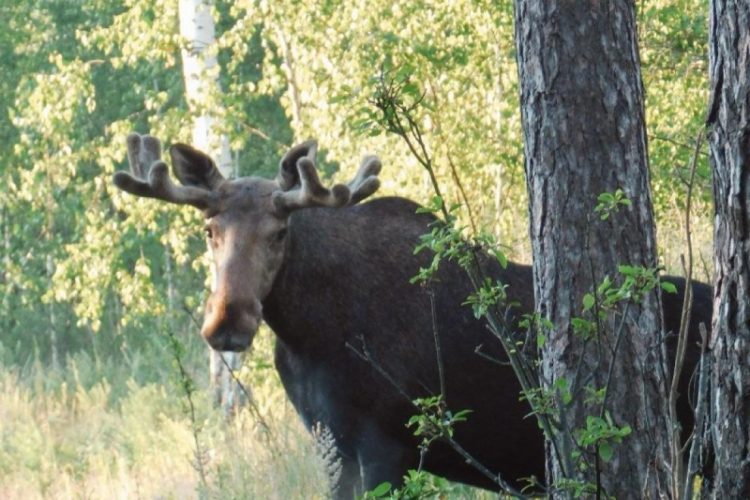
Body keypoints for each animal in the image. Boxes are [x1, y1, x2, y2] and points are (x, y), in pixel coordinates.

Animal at [113, 133, 712, 498]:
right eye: (209, 231)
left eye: (279, 232)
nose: (227, 324)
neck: (308, 333)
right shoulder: (332, 444)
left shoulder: (387, 447)